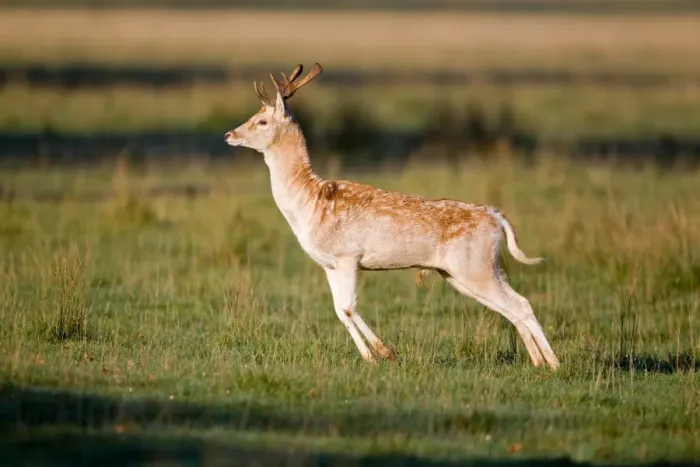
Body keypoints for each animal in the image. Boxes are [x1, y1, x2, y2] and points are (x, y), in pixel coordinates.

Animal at [225, 63, 560, 370]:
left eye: (262, 120)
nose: (229, 134)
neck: (308, 204)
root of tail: (495, 217)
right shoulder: (329, 264)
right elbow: (339, 310)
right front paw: (372, 356)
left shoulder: (348, 256)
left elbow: (348, 307)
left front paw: (385, 352)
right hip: (467, 271)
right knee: (514, 306)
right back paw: (539, 363)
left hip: (475, 268)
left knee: (520, 304)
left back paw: (554, 364)